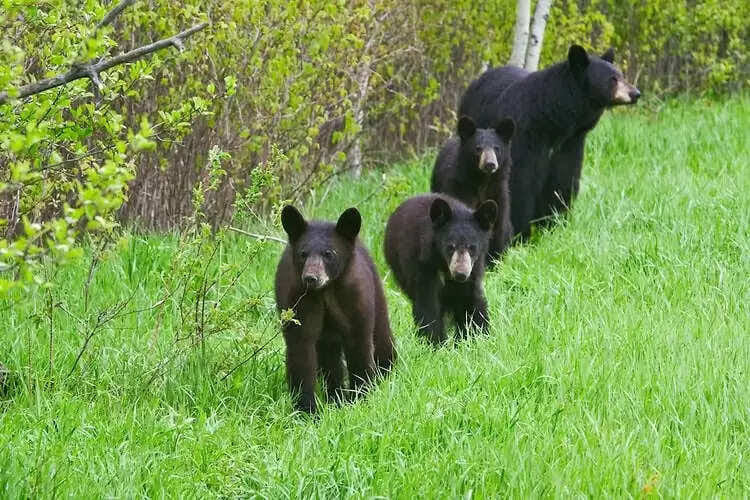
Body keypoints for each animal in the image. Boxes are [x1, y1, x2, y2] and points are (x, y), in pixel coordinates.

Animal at [275, 205, 395, 414]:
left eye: (329, 253)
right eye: (303, 253)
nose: (311, 278)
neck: (326, 292)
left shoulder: (354, 299)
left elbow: (359, 345)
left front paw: (360, 398)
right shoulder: (299, 302)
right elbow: (301, 349)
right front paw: (307, 410)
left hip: (377, 292)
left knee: (381, 336)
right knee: (330, 360)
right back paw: (335, 397)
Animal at [384, 194, 497, 345]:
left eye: (472, 247)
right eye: (450, 247)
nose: (460, 274)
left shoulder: (473, 271)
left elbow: (470, 301)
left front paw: (475, 337)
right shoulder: (423, 265)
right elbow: (427, 303)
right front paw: (435, 342)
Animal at [430, 115, 515, 263]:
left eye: (496, 148)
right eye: (478, 148)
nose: (490, 164)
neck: (482, 181)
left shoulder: (498, 191)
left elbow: (499, 225)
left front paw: (495, 260)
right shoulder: (459, 187)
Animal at [458, 44, 641, 239]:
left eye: (621, 75)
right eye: (612, 79)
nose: (635, 93)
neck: (551, 120)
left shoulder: (570, 144)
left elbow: (562, 181)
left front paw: (553, 224)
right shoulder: (524, 139)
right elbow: (519, 184)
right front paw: (521, 233)